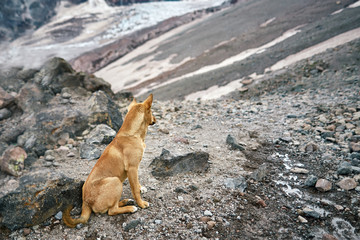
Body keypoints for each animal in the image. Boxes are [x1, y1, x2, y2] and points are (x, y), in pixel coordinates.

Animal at [62, 93, 155, 227]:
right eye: (152, 111)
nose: (155, 120)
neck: (132, 134)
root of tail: (86, 202)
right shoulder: (132, 168)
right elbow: (135, 190)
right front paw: (141, 203)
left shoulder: (134, 169)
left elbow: (136, 184)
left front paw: (140, 187)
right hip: (115, 181)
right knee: (112, 211)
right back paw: (130, 207)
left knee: (114, 206)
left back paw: (126, 201)